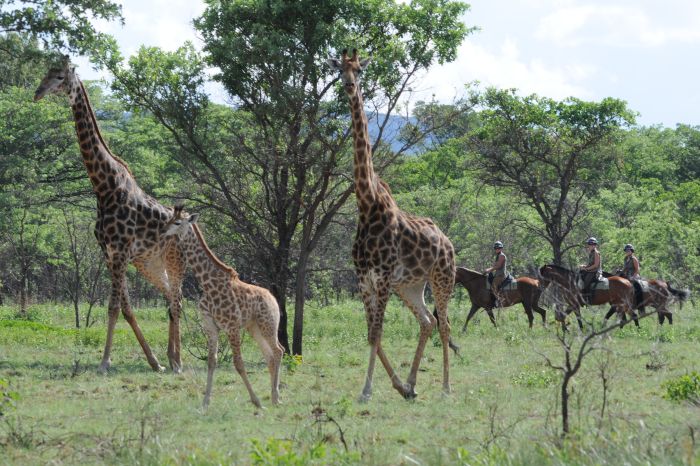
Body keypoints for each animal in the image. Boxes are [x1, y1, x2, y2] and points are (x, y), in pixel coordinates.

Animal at [34, 56, 183, 374]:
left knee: (176, 298)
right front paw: (153, 362)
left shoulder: (121, 251)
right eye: (45, 73)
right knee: (171, 296)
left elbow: (114, 307)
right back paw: (172, 358)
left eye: (60, 76)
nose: (38, 93)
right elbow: (124, 307)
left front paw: (104, 363)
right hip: (149, 263)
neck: (105, 187)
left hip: (169, 261)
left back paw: (177, 361)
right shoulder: (110, 253)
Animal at [326, 50, 454, 400]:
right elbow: (372, 333)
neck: (367, 204)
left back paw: (446, 388)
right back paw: (411, 384)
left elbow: (377, 332)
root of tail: (448, 242)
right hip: (410, 286)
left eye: (358, 69)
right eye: (340, 69)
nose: (349, 85)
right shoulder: (364, 279)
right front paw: (397, 386)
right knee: (427, 322)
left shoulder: (382, 277)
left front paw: (367, 390)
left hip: (442, 278)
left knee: (444, 324)